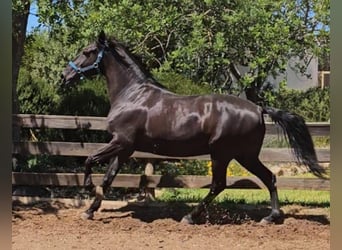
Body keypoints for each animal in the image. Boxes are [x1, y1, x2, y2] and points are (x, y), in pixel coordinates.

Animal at [61, 31, 326, 225]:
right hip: (245, 155)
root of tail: (258, 109)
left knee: (220, 184)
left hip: (223, 154)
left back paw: (190, 217)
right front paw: (90, 210)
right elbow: (108, 178)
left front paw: (87, 189)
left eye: (87, 51)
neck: (132, 95)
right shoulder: (126, 147)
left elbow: (89, 159)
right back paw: (271, 217)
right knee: (268, 177)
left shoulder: (120, 141)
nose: (64, 76)